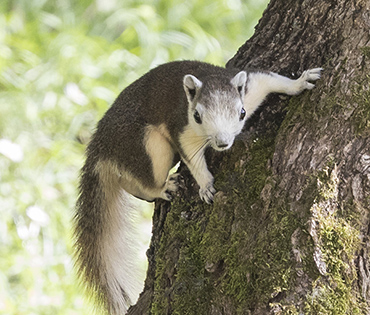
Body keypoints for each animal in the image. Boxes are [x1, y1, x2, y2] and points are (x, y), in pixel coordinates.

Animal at [73, 60, 322, 314]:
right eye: (197, 116)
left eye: (242, 112)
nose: (222, 143)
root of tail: (101, 147)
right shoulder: (183, 130)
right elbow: (194, 161)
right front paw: (206, 186)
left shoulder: (253, 85)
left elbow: (274, 80)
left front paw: (301, 82)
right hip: (148, 146)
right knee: (146, 179)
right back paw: (163, 188)